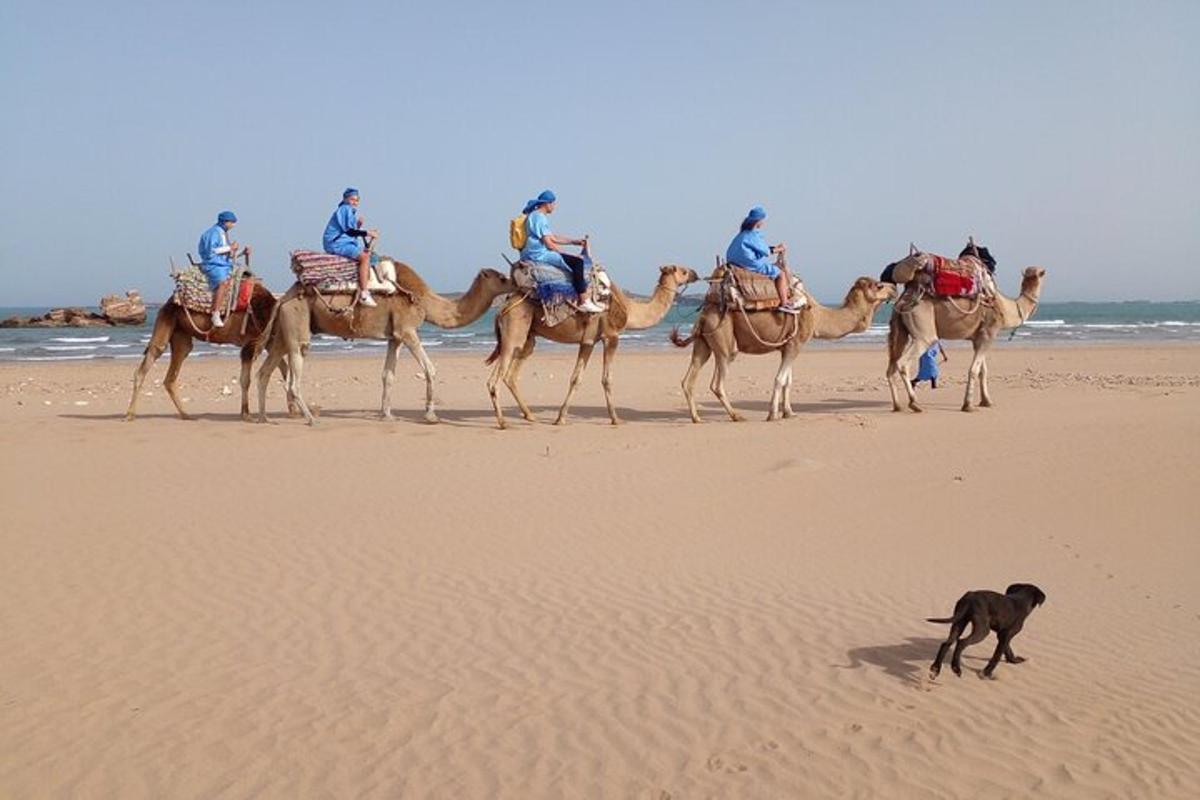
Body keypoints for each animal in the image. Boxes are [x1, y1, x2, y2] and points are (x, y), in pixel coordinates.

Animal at [126, 284, 292, 422]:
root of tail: (167, 302)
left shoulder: (268, 342)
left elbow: (284, 369)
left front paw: (292, 409)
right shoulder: (251, 343)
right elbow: (246, 380)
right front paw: (246, 415)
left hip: (180, 334)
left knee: (173, 371)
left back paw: (186, 415)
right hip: (166, 320)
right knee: (151, 357)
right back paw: (130, 415)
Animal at [258, 262, 511, 424]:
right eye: (502, 277)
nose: (514, 282)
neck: (424, 301)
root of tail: (281, 298)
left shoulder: (395, 337)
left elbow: (388, 375)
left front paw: (387, 415)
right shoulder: (407, 330)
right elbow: (430, 369)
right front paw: (430, 415)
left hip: (284, 329)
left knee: (264, 371)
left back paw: (263, 417)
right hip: (297, 320)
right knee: (293, 373)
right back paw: (310, 418)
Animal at [482, 263, 700, 429]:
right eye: (682, 270)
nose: (695, 273)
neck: (630, 309)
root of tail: (501, 308)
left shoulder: (588, 341)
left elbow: (576, 378)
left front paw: (560, 418)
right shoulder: (611, 336)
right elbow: (606, 379)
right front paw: (616, 419)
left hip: (527, 339)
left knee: (510, 375)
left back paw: (529, 415)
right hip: (514, 333)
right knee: (495, 379)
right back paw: (503, 423)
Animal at [672, 278, 897, 422]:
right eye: (879, 285)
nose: (894, 288)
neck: (817, 316)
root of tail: (702, 316)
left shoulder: (787, 347)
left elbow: (788, 381)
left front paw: (789, 412)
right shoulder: (794, 344)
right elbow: (780, 379)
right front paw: (773, 414)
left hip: (704, 342)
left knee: (688, 379)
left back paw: (697, 418)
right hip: (724, 341)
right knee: (717, 382)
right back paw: (736, 416)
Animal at [888, 266, 1046, 412]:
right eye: (1043, 273)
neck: (1006, 308)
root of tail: (902, 301)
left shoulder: (978, 339)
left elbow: (983, 371)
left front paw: (986, 401)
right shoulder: (989, 333)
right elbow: (974, 369)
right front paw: (968, 405)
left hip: (900, 329)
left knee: (891, 366)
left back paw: (897, 406)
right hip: (923, 330)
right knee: (904, 362)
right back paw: (914, 403)